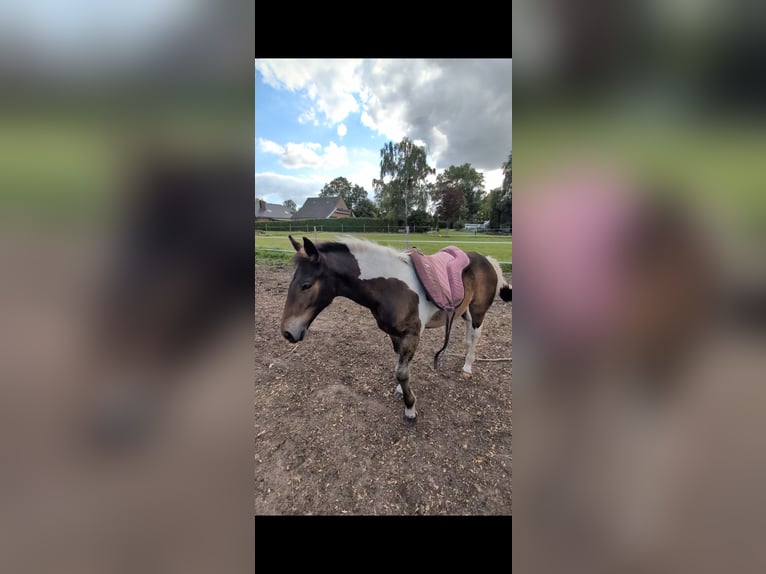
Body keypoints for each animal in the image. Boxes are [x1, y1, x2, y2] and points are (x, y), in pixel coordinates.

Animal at [280, 235, 512, 422]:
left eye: (306, 285)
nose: (287, 332)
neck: (390, 287)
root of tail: (488, 260)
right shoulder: (394, 334)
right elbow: (400, 363)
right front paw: (401, 390)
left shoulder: (412, 335)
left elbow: (401, 371)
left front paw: (410, 409)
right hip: (463, 310)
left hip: (478, 310)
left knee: (475, 335)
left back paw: (467, 367)